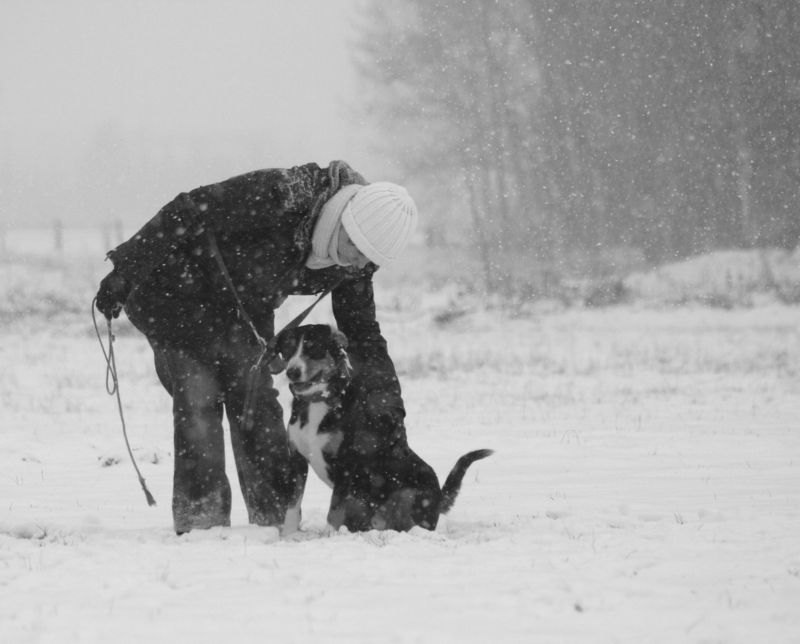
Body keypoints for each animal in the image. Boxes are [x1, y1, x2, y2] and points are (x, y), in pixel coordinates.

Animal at [270, 324, 494, 532]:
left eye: (313, 348)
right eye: (288, 349)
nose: (292, 371)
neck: (317, 401)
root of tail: (439, 498)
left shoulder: (346, 465)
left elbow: (334, 512)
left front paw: (329, 536)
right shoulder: (297, 460)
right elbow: (292, 505)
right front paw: (288, 536)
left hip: (409, 495)